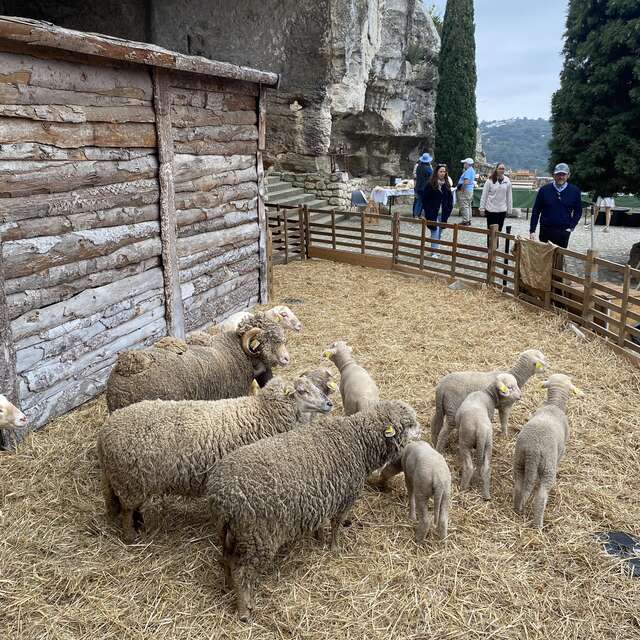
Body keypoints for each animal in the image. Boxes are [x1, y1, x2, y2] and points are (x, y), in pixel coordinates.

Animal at [98, 374, 332, 542]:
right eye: (302, 391)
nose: (329, 404)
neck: (263, 413)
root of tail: (106, 430)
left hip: (134, 481)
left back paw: (141, 525)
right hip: (130, 481)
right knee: (127, 510)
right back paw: (131, 536)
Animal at [207, 400, 421, 620]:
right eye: (409, 424)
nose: (421, 433)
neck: (358, 442)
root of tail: (222, 497)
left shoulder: (324, 496)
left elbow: (322, 521)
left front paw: (319, 538)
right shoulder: (345, 498)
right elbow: (336, 525)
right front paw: (335, 548)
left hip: (229, 533)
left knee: (226, 560)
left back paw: (227, 586)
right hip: (257, 536)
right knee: (241, 572)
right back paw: (244, 610)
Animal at [513, 373, 583, 529]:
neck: (554, 404)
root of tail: (533, 450)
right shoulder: (561, 451)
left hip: (520, 459)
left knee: (519, 486)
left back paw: (517, 508)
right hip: (548, 467)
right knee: (541, 498)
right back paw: (538, 526)